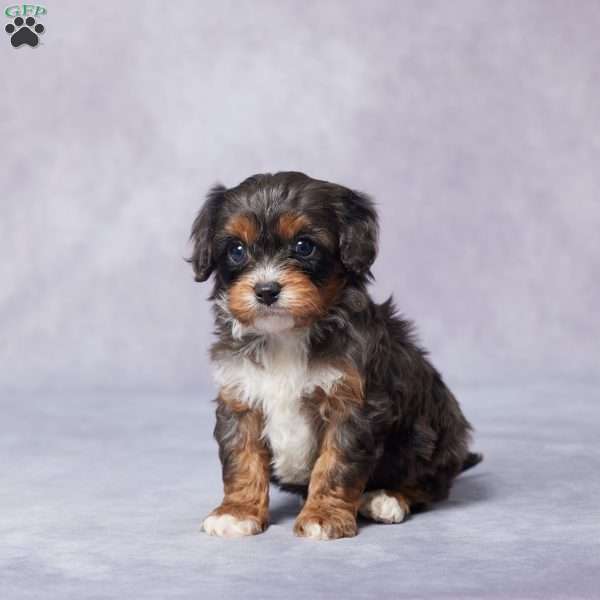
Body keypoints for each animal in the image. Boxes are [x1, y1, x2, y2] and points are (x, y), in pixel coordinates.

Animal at [189, 172, 482, 540]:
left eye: (304, 246)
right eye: (236, 250)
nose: (266, 291)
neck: (286, 335)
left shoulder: (353, 404)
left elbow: (335, 465)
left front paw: (324, 516)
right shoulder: (240, 398)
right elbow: (241, 459)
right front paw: (237, 512)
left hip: (433, 433)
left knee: (430, 484)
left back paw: (386, 499)